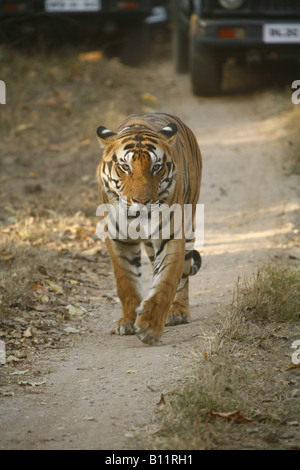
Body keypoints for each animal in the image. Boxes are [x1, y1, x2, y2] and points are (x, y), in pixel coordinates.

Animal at [96, 112, 203, 344]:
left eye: (156, 167)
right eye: (125, 167)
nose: (142, 201)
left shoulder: (171, 236)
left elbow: (166, 282)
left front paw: (150, 326)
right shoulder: (118, 238)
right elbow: (126, 281)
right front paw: (128, 321)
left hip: (189, 221)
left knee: (183, 275)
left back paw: (178, 311)